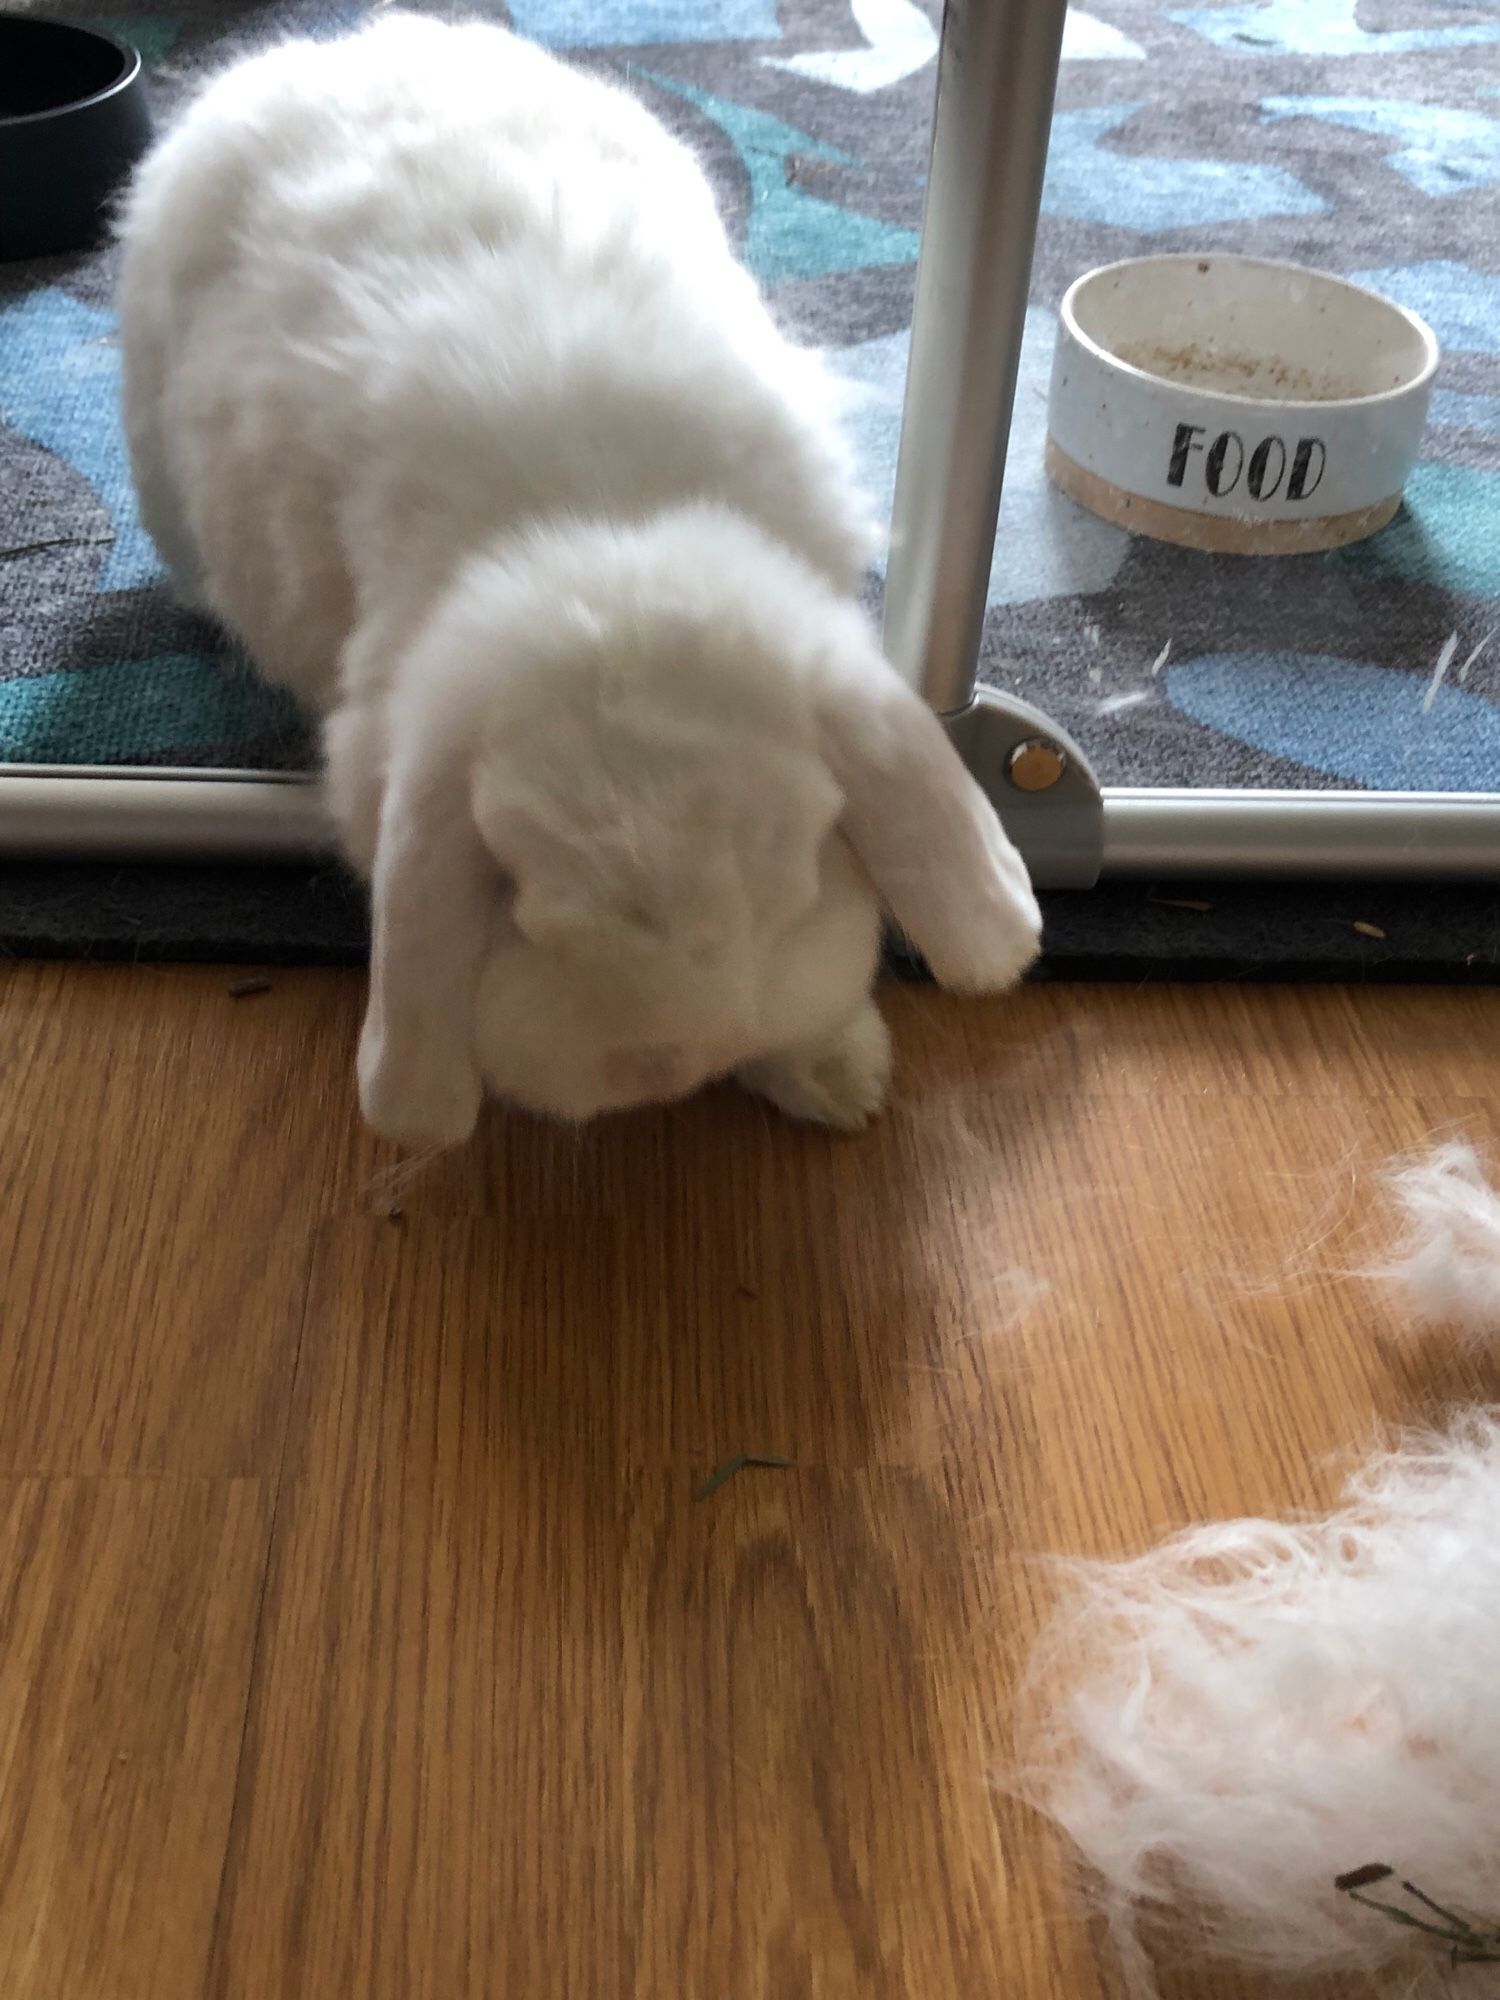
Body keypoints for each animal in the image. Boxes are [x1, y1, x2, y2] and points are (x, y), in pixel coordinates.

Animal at [117, 11, 1048, 1144]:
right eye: (525, 902)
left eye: (797, 870)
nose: (681, 1061)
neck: (602, 533)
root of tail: (332, 49)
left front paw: (836, 1081)